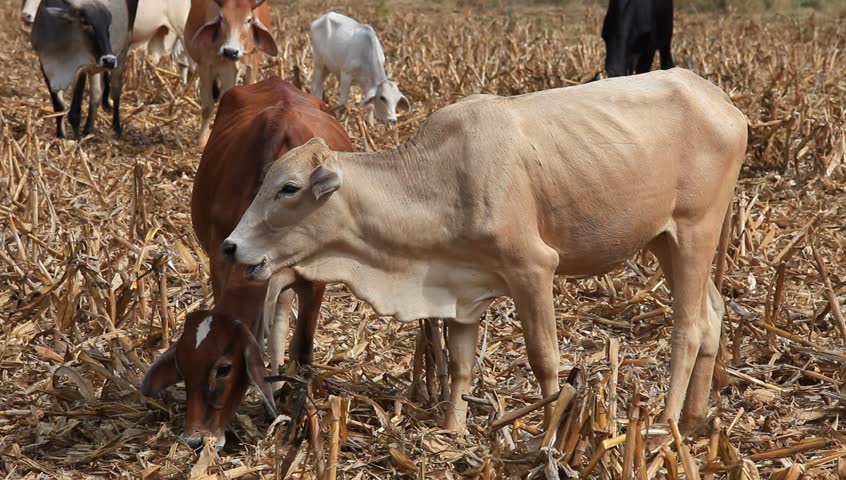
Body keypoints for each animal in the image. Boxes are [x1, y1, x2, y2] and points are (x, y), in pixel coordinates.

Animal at [31, 0, 138, 139]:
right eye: (85, 22)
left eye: (108, 25)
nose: (109, 60)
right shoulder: (45, 66)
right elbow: (59, 107)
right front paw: (60, 136)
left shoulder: (80, 68)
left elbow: (75, 113)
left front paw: (76, 140)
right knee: (96, 94)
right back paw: (88, 130)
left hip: (123, 50)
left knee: (116, 88)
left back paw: (116, 127)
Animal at [141, 77, 353, 449]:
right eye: (183, 367)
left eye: (224, 368)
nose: (195, 440)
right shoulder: (221, 259)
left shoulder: (315, 281)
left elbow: (303, 352)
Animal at [185, 0, 278, 147]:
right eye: (222, 17)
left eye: (248, 20)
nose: (230, 51)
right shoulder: (206, 68)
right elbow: (207, 108)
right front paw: (202, 141)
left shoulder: (251, 68)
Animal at [222, 68, 747, 434]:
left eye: (289, 188)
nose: (231, 246)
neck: (438, 179)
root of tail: (723, 102)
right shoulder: (459, 289)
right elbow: (459, 365)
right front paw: (451, 430)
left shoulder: (533, 269)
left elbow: (545, 359)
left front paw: (548, 434)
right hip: (666, 240)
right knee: (714, 313)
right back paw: (695, 420)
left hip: (694, 230)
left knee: (690, 328)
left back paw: (666, 422)